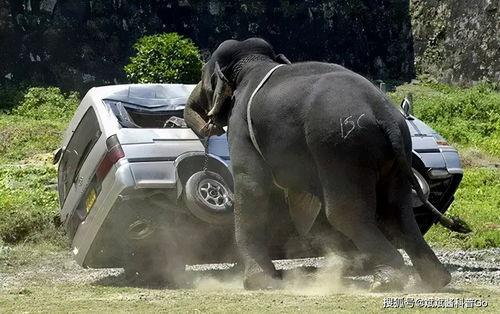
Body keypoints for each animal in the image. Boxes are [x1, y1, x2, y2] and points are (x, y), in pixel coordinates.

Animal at [185, 38, 458, 290]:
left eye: (204, 77)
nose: (207, 125)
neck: (255, 63)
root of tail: (385, 116)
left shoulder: (241, 124)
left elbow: (252, 186)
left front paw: (259, 282)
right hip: (397, 152)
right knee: (397, 210)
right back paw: (437, 280)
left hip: (340, 149)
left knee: (346, 213)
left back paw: (387, 280)